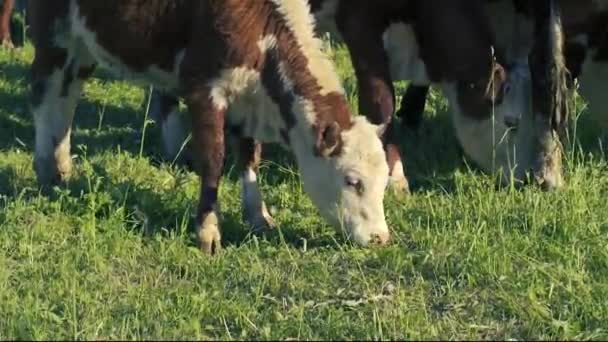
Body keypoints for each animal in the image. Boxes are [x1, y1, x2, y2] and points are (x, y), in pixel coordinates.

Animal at [28, 0, 392, 254]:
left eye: (384, 180)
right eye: (352, 180)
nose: (380, 238)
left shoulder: (249, 100)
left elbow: (249, 157)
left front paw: (259, 216)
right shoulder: (202, 87)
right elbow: (214, 160)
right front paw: (208, 231)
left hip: (83, 42)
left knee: (67, 94)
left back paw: (61, 166)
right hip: (54, 30)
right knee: (46, 91)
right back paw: (46, 167)